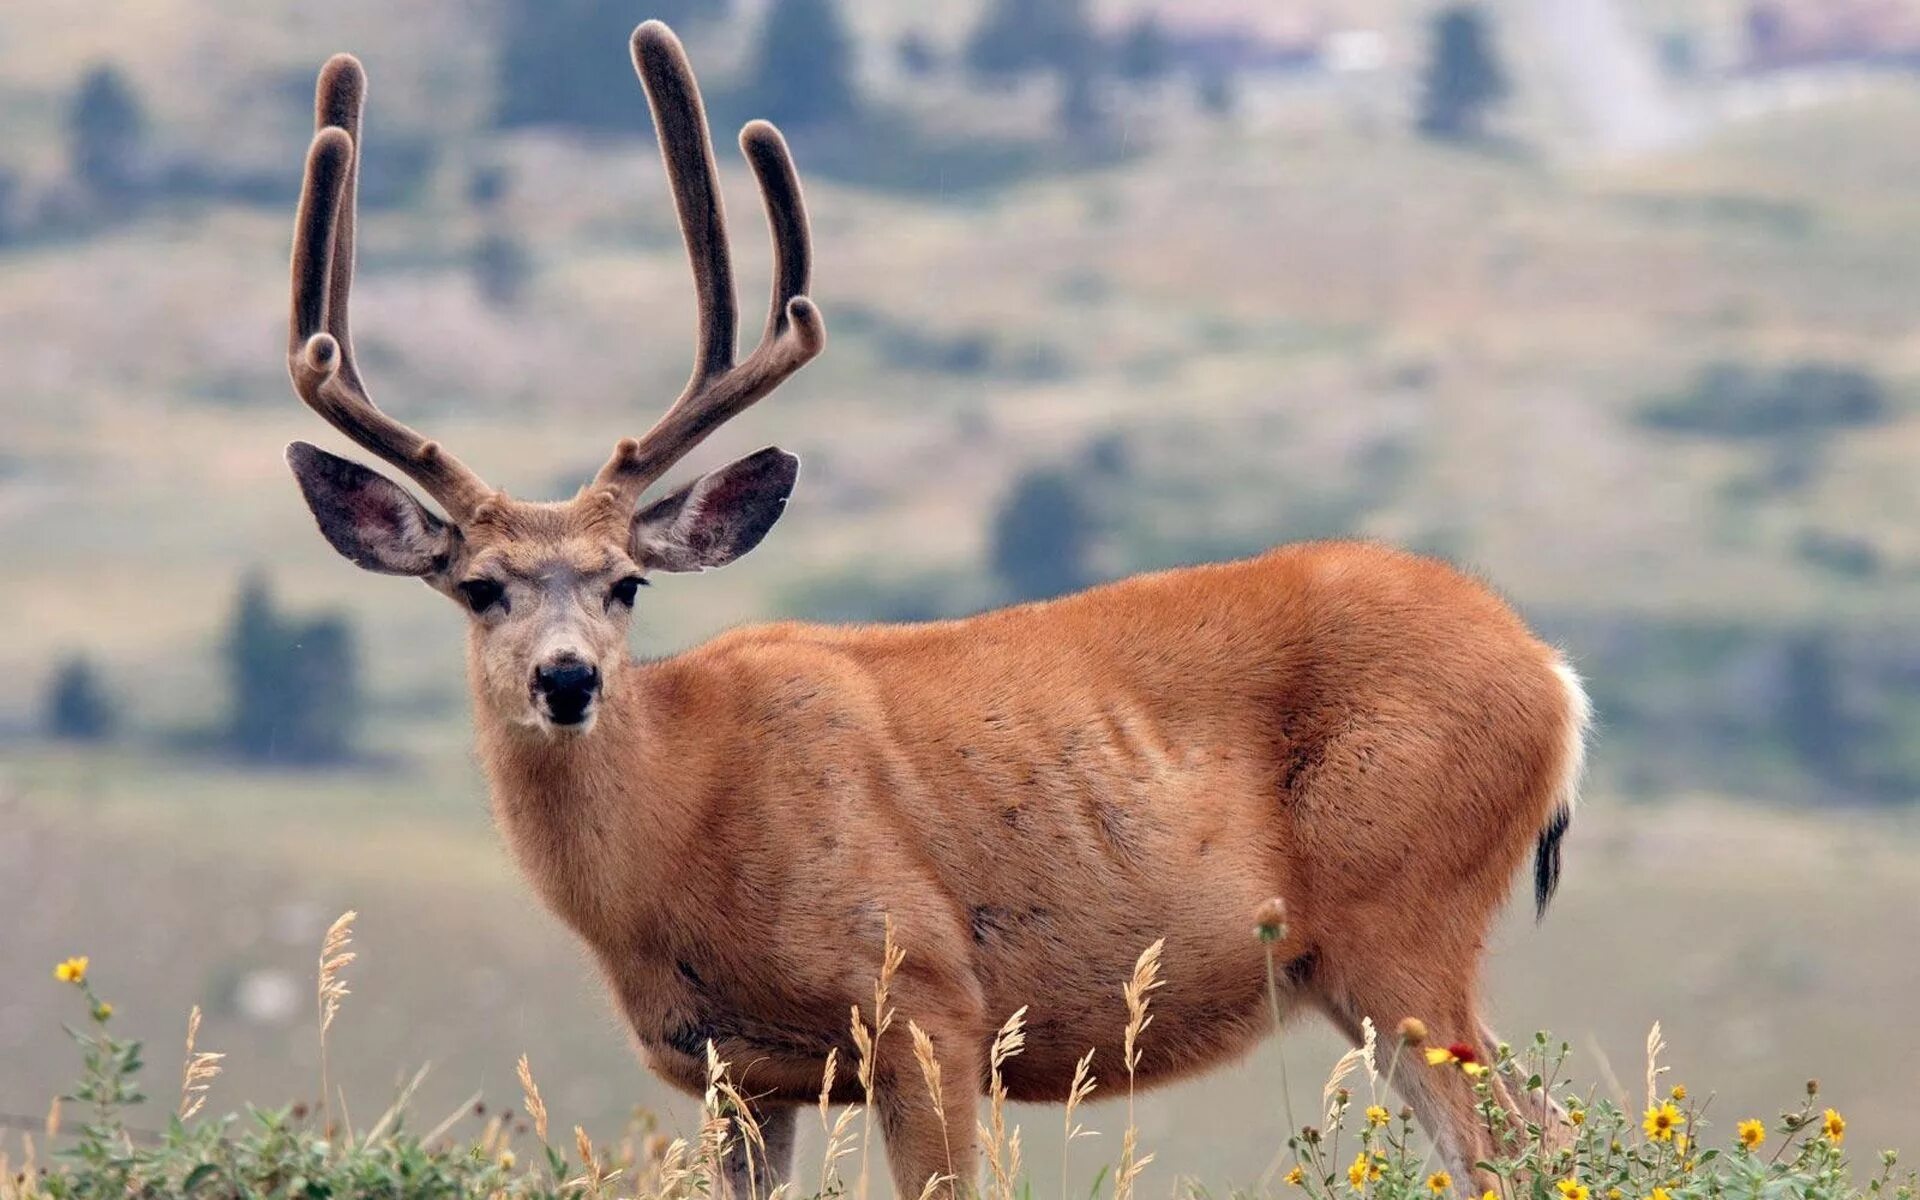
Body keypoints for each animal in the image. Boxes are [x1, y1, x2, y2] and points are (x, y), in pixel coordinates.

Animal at [280, 18, 1589, 1198]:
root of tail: (1553, 678)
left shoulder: (924, 998)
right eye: (479, 588)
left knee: (1523, 1145)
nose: (566, 678)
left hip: (1403, 909)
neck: (684, 826)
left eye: (626, 581)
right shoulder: (737, 1073)